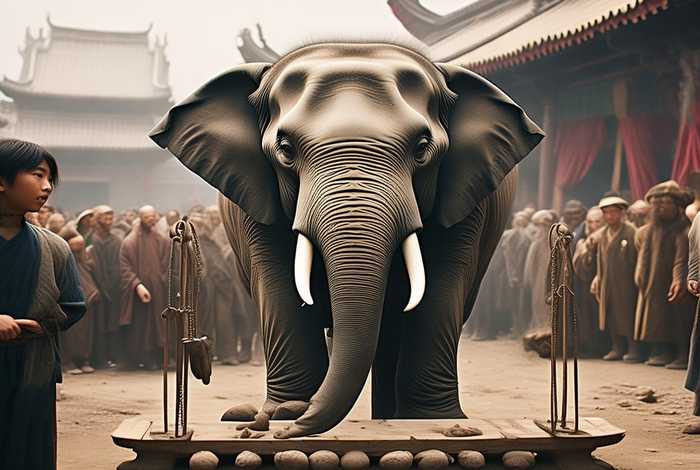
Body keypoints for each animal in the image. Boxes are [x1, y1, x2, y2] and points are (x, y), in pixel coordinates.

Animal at [149, 42, 543, 439]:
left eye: (421, 148)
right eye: (285, 149)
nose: (288, 428)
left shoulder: (465, 197)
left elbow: (441, 285)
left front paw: (433, 420)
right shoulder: (256, 196)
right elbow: (279, 281)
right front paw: (282, 413)